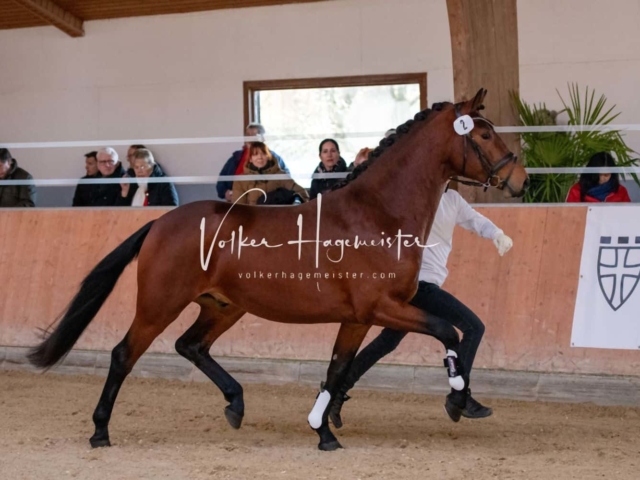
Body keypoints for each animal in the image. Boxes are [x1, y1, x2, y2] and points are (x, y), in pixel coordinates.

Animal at [28, 89, 528, 450]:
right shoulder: (382, 307)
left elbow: (337, 370)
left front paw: (323, 432)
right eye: (484, 136)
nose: (520, 180)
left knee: (190, 345)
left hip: (224, 307)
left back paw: (235, 403)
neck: (378, 214)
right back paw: (100, 431)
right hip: (159, 304)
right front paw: (458, 397)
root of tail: (161, 222)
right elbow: (448, 331)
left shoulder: (357, 318)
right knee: (124, 355)